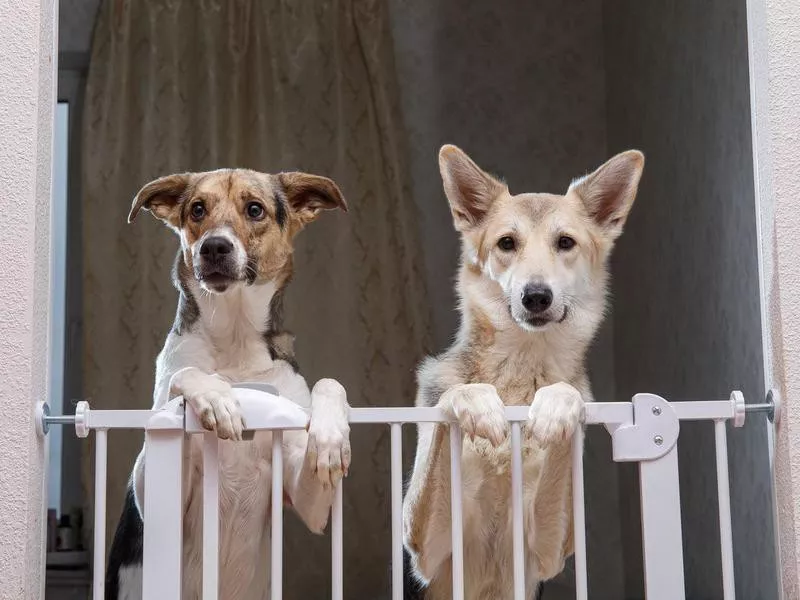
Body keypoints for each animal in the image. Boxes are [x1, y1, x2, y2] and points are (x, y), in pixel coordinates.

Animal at [107, 169, 354, 600]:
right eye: (197, 209)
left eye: (254, 209)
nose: (214, 246)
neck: (235, 338)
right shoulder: (152, 492)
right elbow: (185, 374)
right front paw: (218, 399)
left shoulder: (309, 501)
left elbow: (329, 383)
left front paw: (329, 438)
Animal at [400, 144, 644, 596]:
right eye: (506, 243)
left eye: (565, 242)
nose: (535, 296)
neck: (522, 365)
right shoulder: (427, 544)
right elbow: (452, 399)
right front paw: (476, 402)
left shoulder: (549, 546)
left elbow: (566, 399)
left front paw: (555, 408)